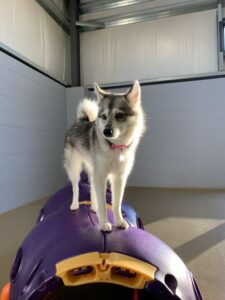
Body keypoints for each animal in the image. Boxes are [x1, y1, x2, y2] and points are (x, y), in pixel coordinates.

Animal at [63, 81, 144, 233]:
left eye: (119, 115)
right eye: (104, 116)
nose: (106, 131)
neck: (116, 147)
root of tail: (80, 121)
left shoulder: (119, 177)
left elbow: (116, 203)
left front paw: (119, 221)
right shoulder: (101, 176)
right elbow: (103, 204)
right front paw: (104, 223)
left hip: (92, 170)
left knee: (92, 189)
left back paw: (93, 207)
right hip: (75, 168)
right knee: (76, 187)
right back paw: (75, 204)